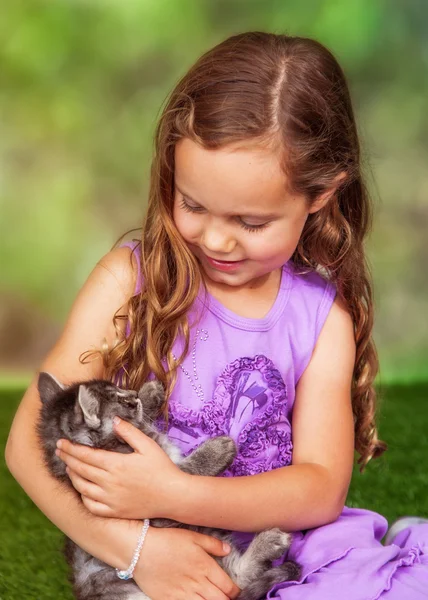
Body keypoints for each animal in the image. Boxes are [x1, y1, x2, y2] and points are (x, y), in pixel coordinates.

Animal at [36, 372, 300, 596]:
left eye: (121, 390)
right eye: (122, 401)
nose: (133, 393)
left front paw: (149, 393)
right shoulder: (156, 506)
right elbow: (180, 477)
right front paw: (216, 451)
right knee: (235, 581)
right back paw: (270, 542)